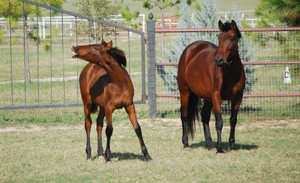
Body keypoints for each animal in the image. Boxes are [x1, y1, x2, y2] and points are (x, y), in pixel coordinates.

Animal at [177, 20, 245, 153]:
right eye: (219, 37)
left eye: (232, 38)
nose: (219, 60)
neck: (230, 73)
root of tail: (189, 50)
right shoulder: (217, 97)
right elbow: (219, 122)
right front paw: (219, 149)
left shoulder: (237, 98)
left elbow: (233, 120)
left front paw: (232, 146)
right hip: (185, 92)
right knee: (184, 115)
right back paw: (186, 144)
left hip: (208, 98)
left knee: (204, 116)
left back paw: (210, 144)